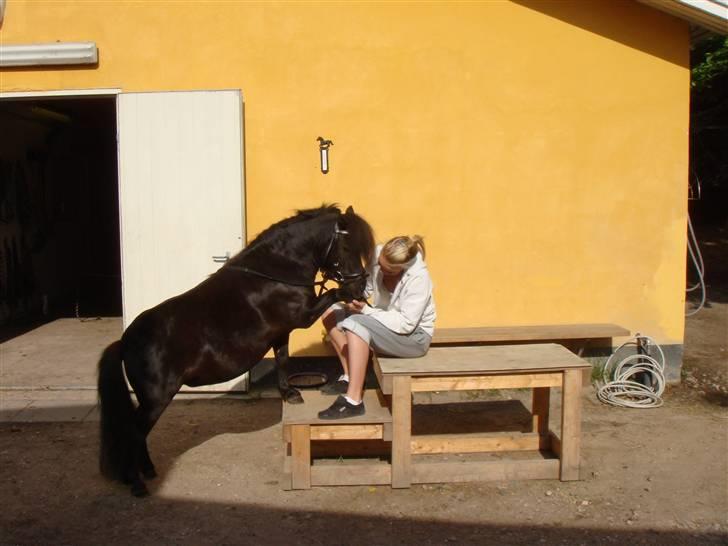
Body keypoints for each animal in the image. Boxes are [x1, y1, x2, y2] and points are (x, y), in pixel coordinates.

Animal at [98, 203, 376, 492]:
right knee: (133, 433)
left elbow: (283, 360)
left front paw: (289, 393)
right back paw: (136, 483)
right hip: (156, 399)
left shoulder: (281, 333)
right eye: (347, 247)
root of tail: (126, 340)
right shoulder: (304, 316)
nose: (360, 286)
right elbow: (332, 295)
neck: (277, 273)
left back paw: (148, 471)